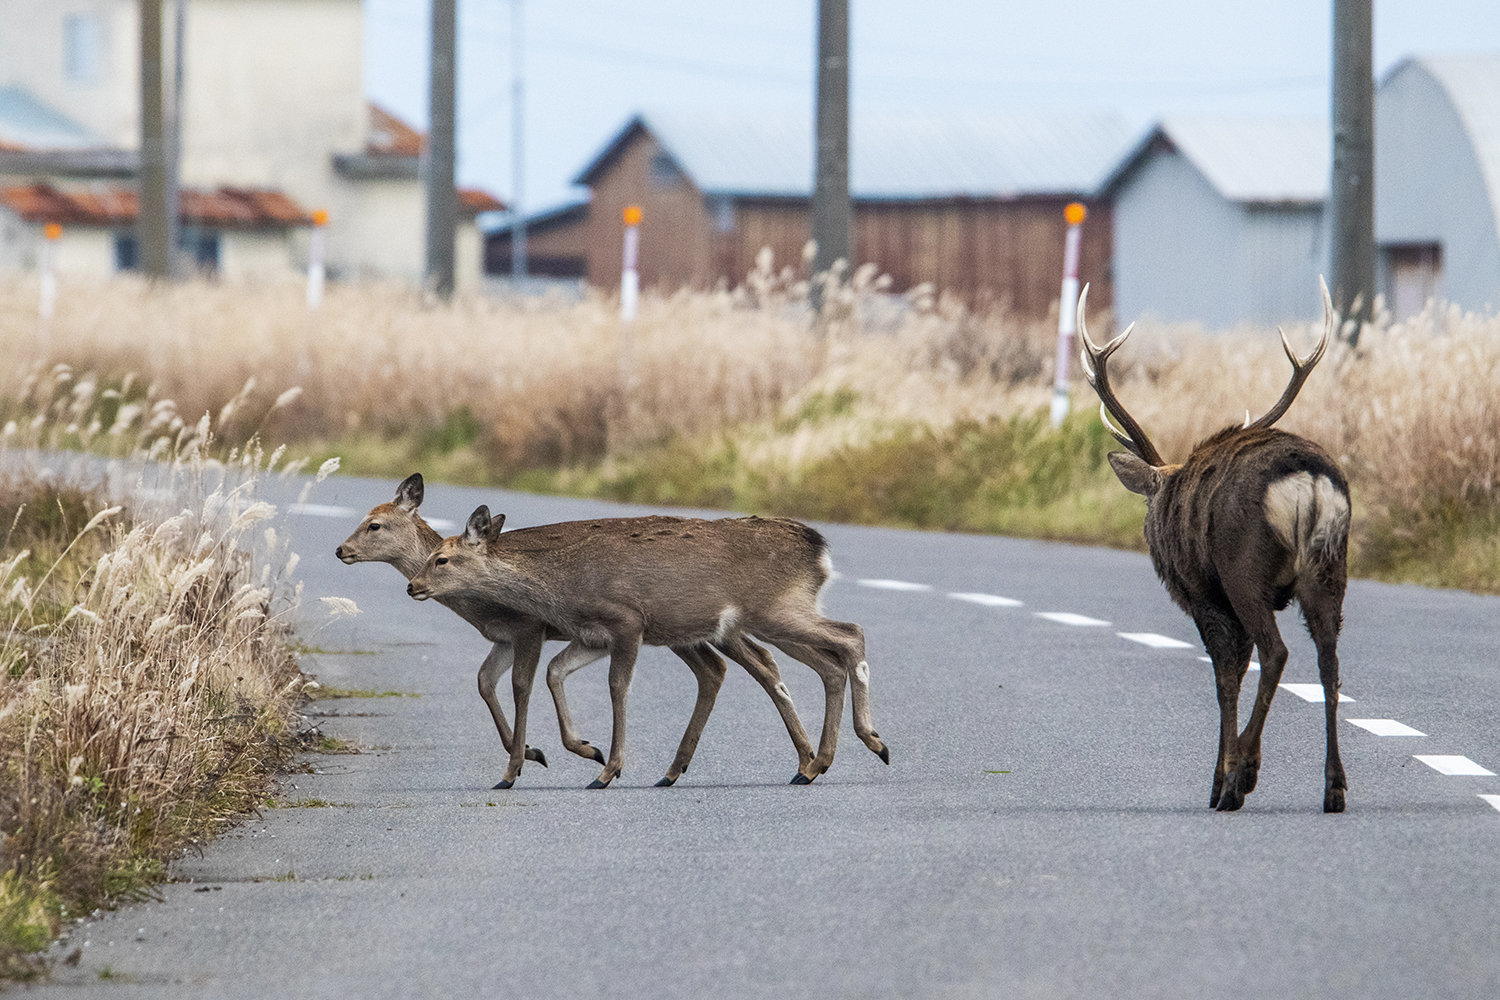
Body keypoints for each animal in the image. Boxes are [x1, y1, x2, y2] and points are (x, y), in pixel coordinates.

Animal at [336, 476, 816, 791]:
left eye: (374, 524)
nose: (341, 549)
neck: (479, 606)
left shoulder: (528, 627)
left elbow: (521, 685)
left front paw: (522, 764)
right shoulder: (505, 638)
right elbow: (488, 682)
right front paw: (551, 751)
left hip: (707, 625)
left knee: (762, 662)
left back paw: (805, 759)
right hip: (689, 633)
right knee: (725, 668)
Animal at [408, 509, 888, 791]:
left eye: (442, 559)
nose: (413, 586)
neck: (560, 584)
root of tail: (820, 551)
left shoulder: (626, 620)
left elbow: (618, 686)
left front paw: (607, 769)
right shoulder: (590, 635)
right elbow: (556, 672)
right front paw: (590, 752)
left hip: (773, 610)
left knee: (851, 634)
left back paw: (868, 742)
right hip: (769, 619)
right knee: (828, 660)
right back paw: (815, 763)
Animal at [1086, 280, 1356, 815]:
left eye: (1150, 506)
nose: (1150, 531)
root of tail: (1310, 483)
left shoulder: (1204, 595)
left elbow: (1225, 678)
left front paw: (1218, 779)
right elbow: (1238, 670)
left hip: (1243, 568)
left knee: (1277, 652)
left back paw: (1241, 779)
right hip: (1329, 567)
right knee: (1329, 663)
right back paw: (1334, 787)